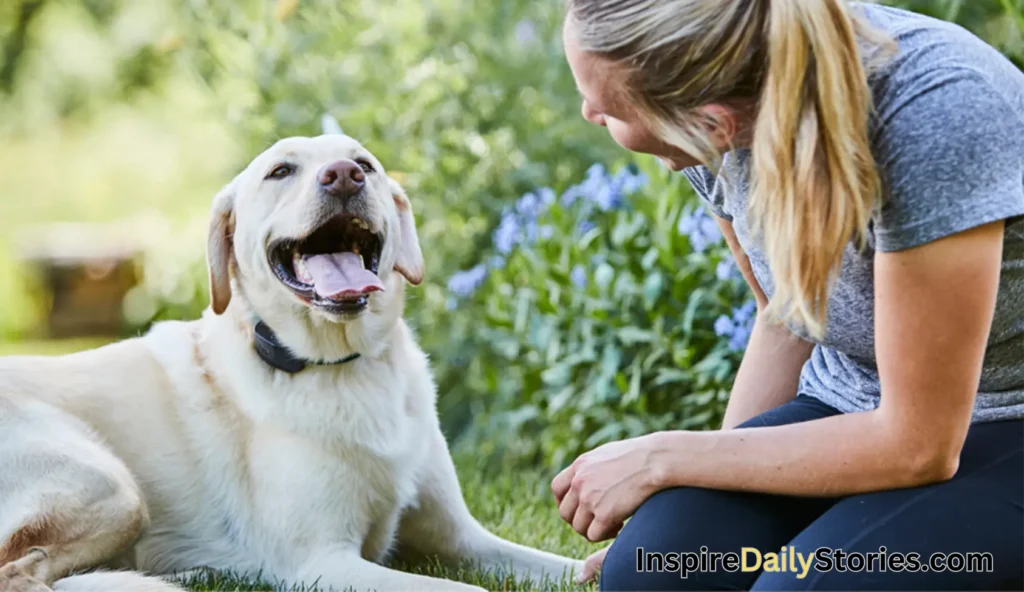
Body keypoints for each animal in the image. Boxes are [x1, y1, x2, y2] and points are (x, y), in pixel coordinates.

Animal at [0, 135, 585, 589]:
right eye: (280, 171)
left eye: (365, 163)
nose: (345, 176)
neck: (346, 367)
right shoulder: (324, 563)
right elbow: (468, 591)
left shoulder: (463, 538)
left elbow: (576, 568)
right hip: (110, 487)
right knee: (22, 574)